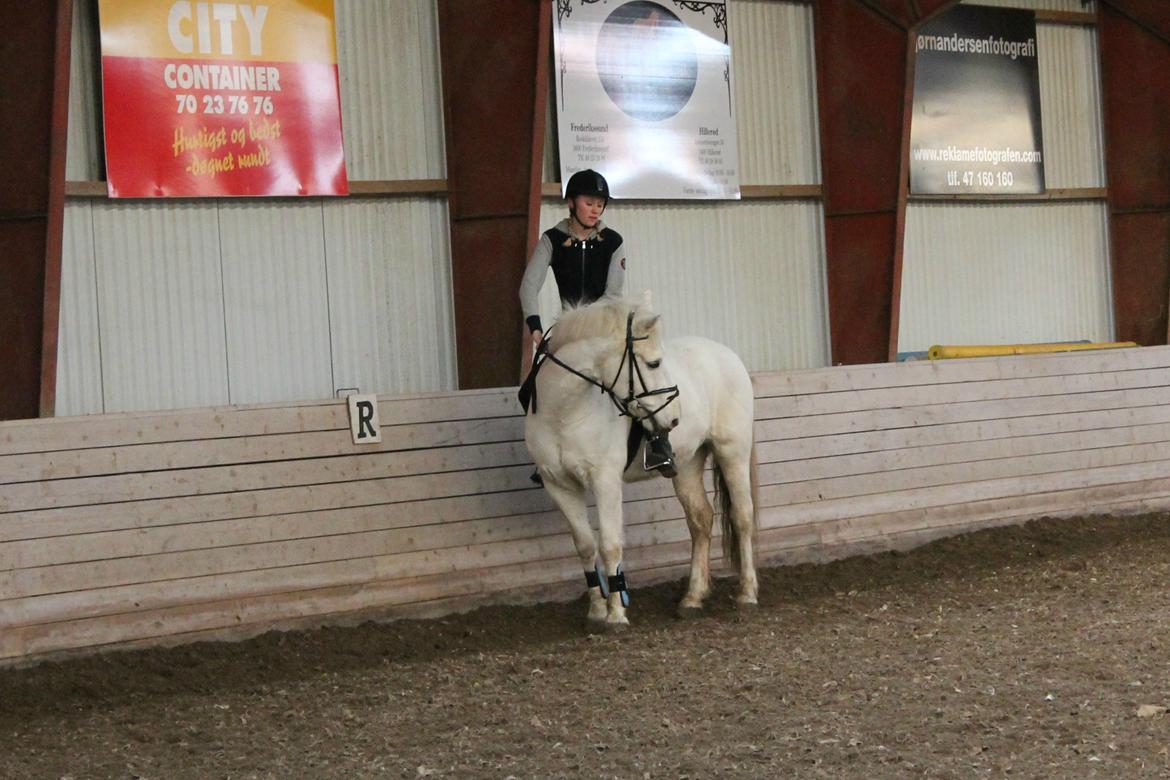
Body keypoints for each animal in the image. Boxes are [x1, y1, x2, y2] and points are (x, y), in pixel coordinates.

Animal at [523, 293, 758, 631]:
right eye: (654, 363)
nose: (673, 418)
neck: (564, 412)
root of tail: (728, 355)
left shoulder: (605, 481)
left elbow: (609, 544)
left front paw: (616, 616)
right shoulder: (560, 486)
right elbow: (585, 545)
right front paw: (596, 612)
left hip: (732, 451)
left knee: (742, 516)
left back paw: (747, 594)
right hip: (687, 464)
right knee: (700, 520)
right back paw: (692, 598)